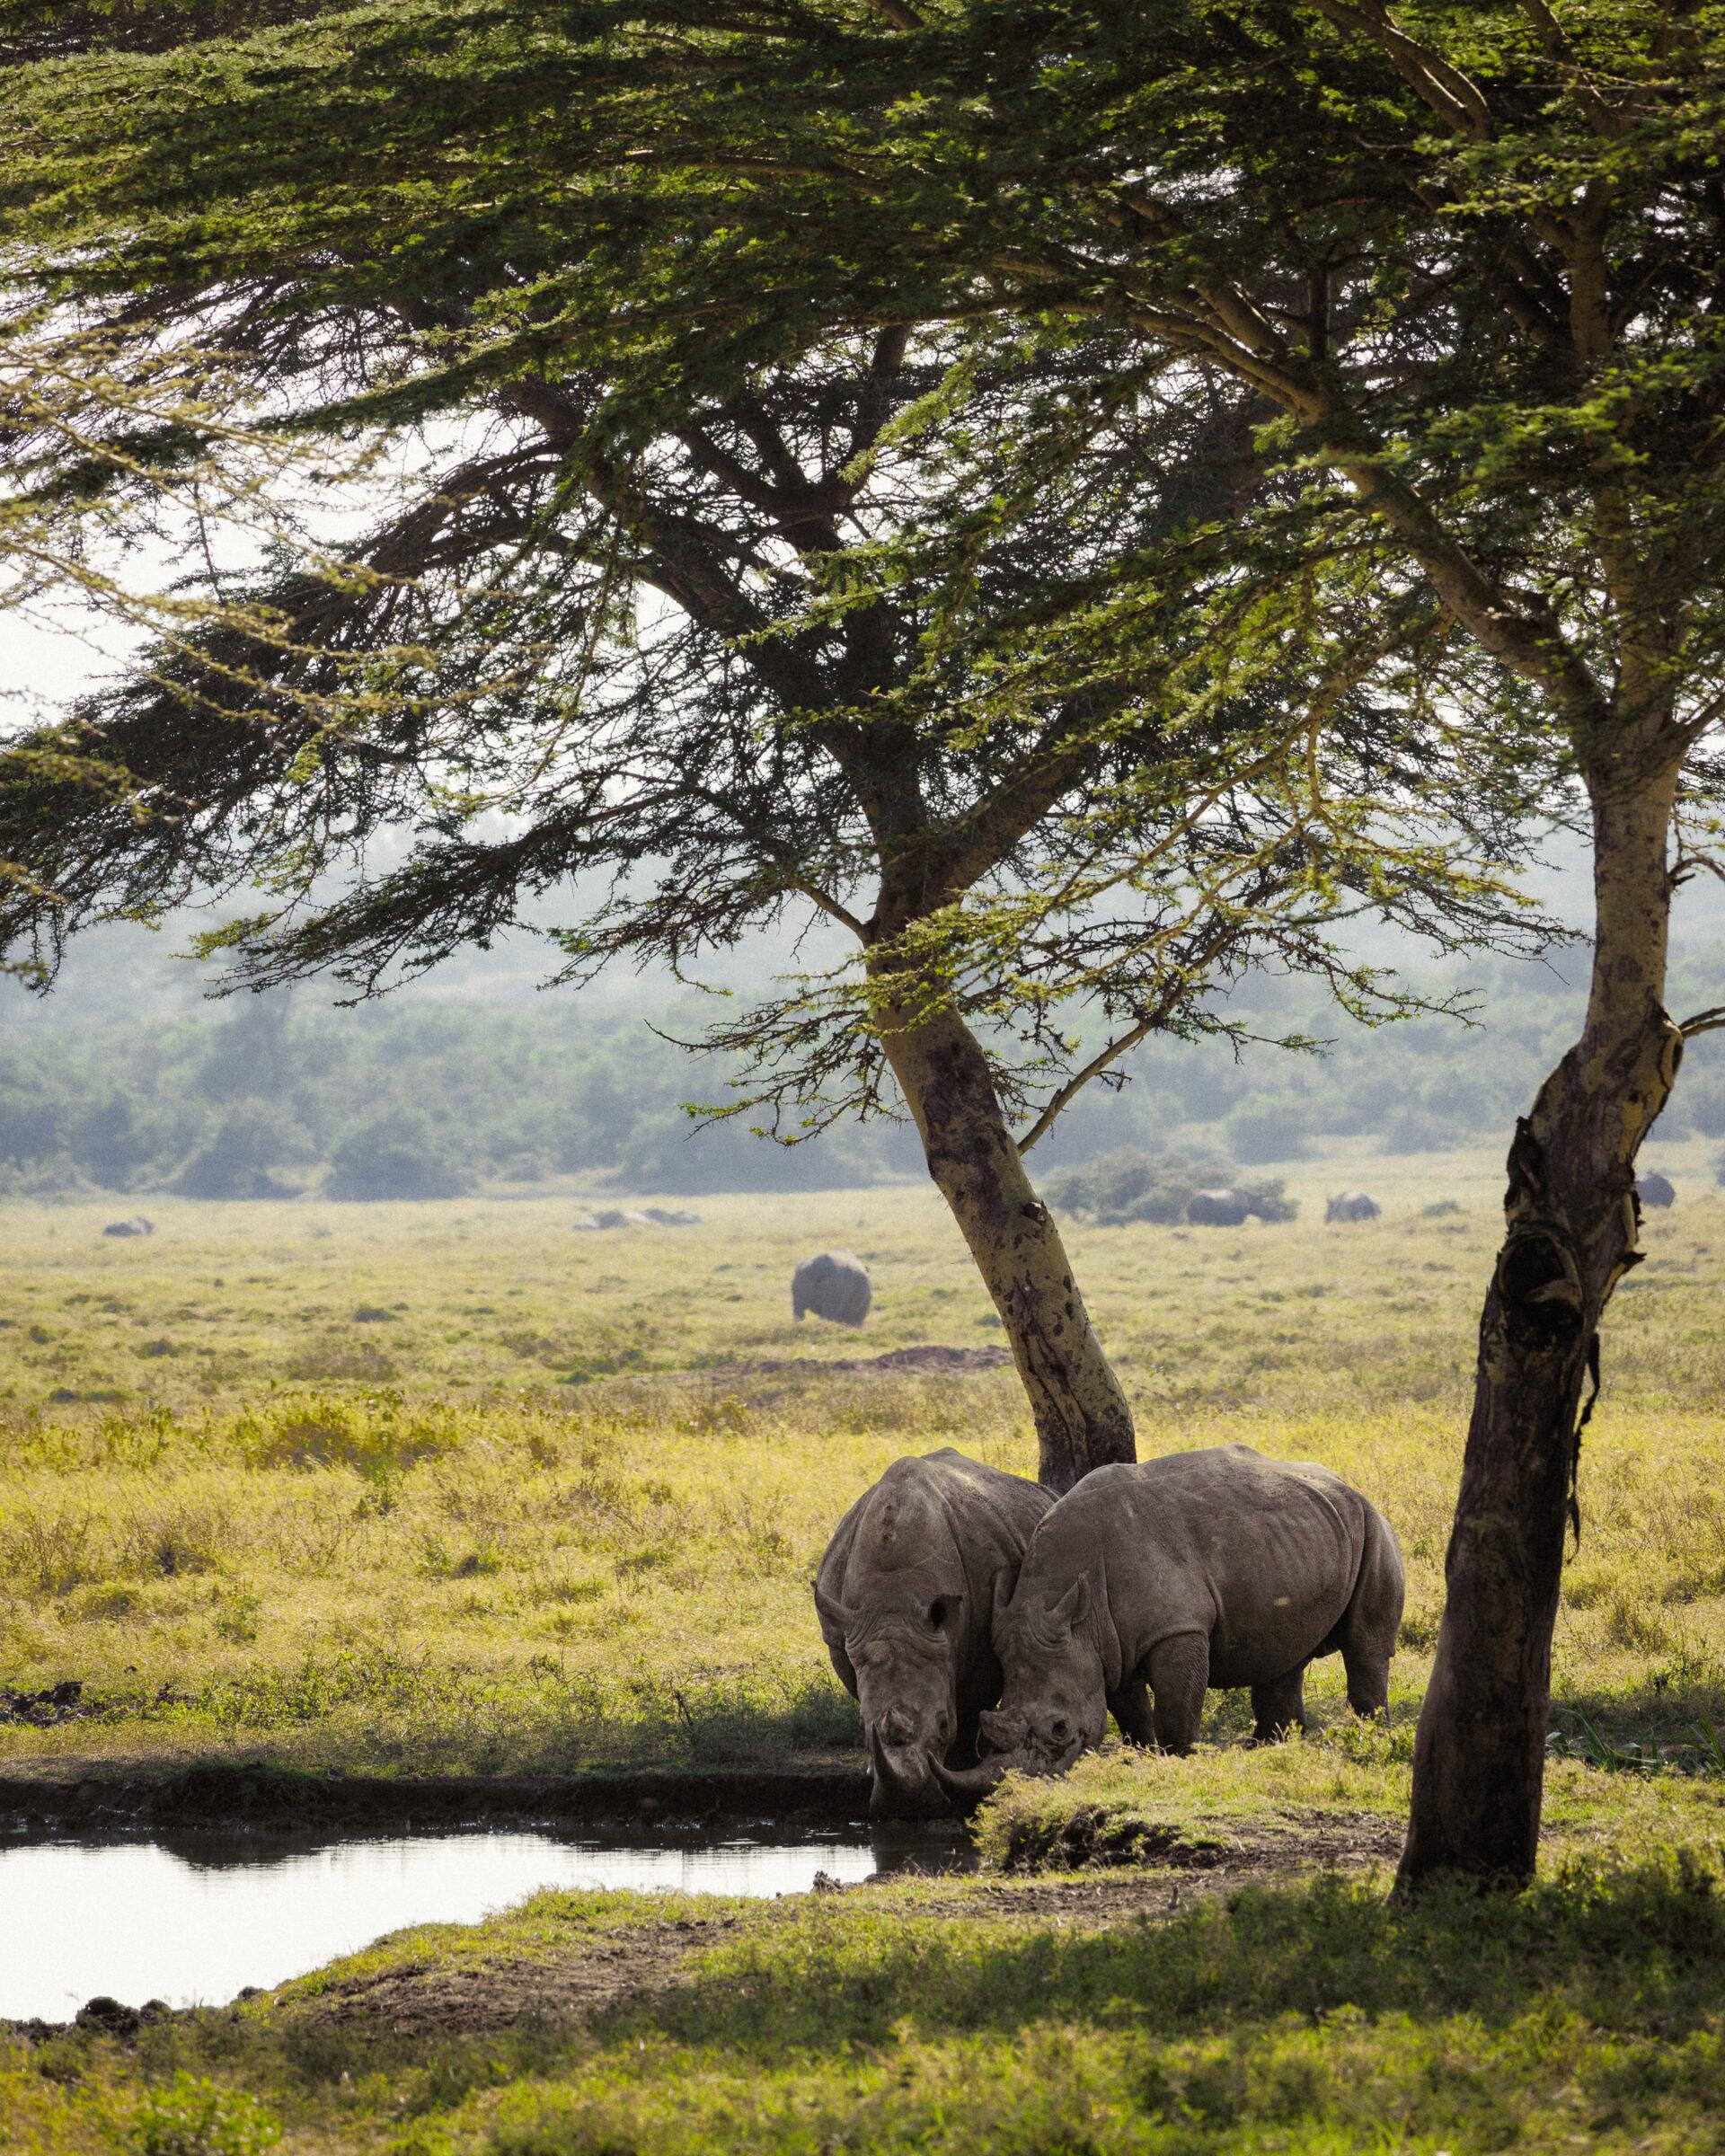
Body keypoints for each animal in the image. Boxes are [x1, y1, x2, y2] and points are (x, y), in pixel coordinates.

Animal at [819, 1448, 1052, 1819]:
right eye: (859, 1726)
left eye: (943, 1725)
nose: (906, 1806)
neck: (894, 1601)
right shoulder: (844, 1634)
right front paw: (873, 1766)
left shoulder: (978, 1640)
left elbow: (971, 1704)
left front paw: (959, 1769)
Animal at [935, 1448, 1405, 1802]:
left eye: (1059, 1730)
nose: (1025, 1787)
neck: (1074, 1607)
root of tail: (1346, 1484)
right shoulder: (1107, 1645)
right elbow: (1130, 1712)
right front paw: (1143, 1758)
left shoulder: (1179, 1628)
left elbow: (1176, 1708)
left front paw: (1178, 1762)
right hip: (1300, 1536)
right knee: (1281, 1656)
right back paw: (1267, 1749)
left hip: (1373, 1526)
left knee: (1364, 1647)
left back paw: (1369, 1740)